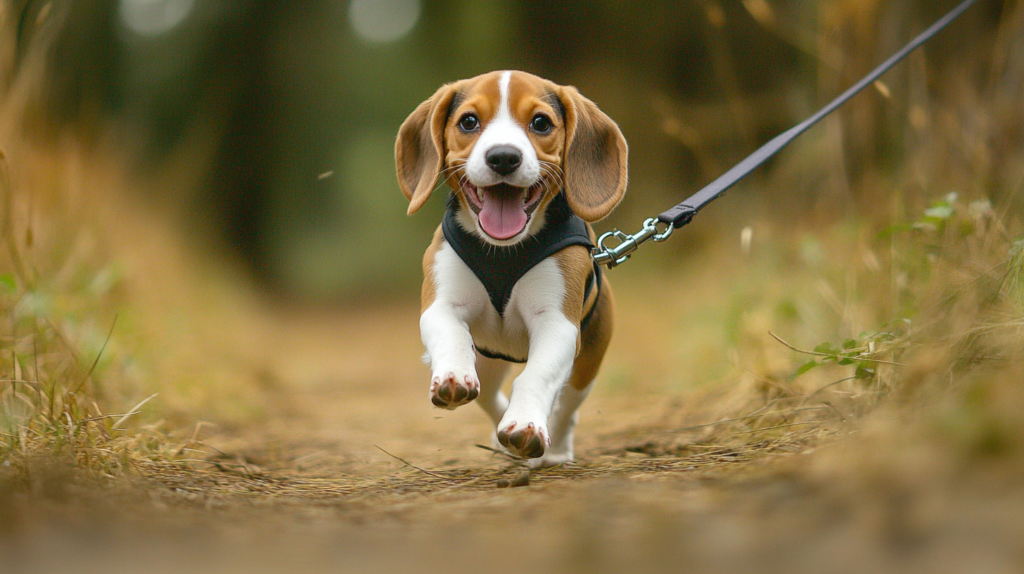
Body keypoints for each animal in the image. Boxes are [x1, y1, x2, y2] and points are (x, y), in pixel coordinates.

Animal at [395, 70, 626, 466]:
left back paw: (554, 447)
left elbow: (535, 377)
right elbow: (450, 334)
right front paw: (452, 375)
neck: (503, 251)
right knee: (489, 396)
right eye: (469, 122)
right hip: (488, 360)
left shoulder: (557, 324)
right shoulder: (441, 304)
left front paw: (525, 425)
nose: (503, 157)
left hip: (587, 363)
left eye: (541, 123)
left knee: (567, 407)